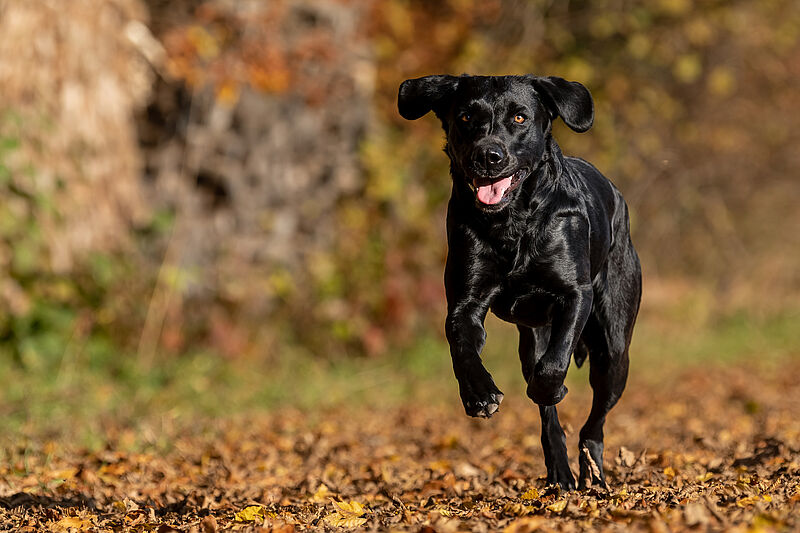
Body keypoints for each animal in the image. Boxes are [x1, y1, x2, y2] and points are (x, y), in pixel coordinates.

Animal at [400, 75, 644, 490]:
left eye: (519, 117)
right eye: (466, 117)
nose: (488, 155)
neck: (511, 222)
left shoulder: (575, 294)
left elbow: (554, 365)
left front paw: (552, 386)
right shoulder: (464, 302)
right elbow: (462, 345)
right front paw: (479, 395)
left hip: (613, 348)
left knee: (593, 424)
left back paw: (592, 473)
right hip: (531, 339)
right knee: (550, 419)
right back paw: (560, 470)